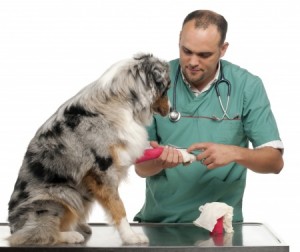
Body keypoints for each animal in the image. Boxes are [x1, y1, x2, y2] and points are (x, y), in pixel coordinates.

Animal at [7, 52, 171, 244]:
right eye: (167, 87)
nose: (171, 110)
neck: (121, 100)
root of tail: (13, 226)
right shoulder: (102, 171)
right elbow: (118, 206)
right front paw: (130, 236)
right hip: (62, 194)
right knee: (39, 232)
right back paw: (70, 234)